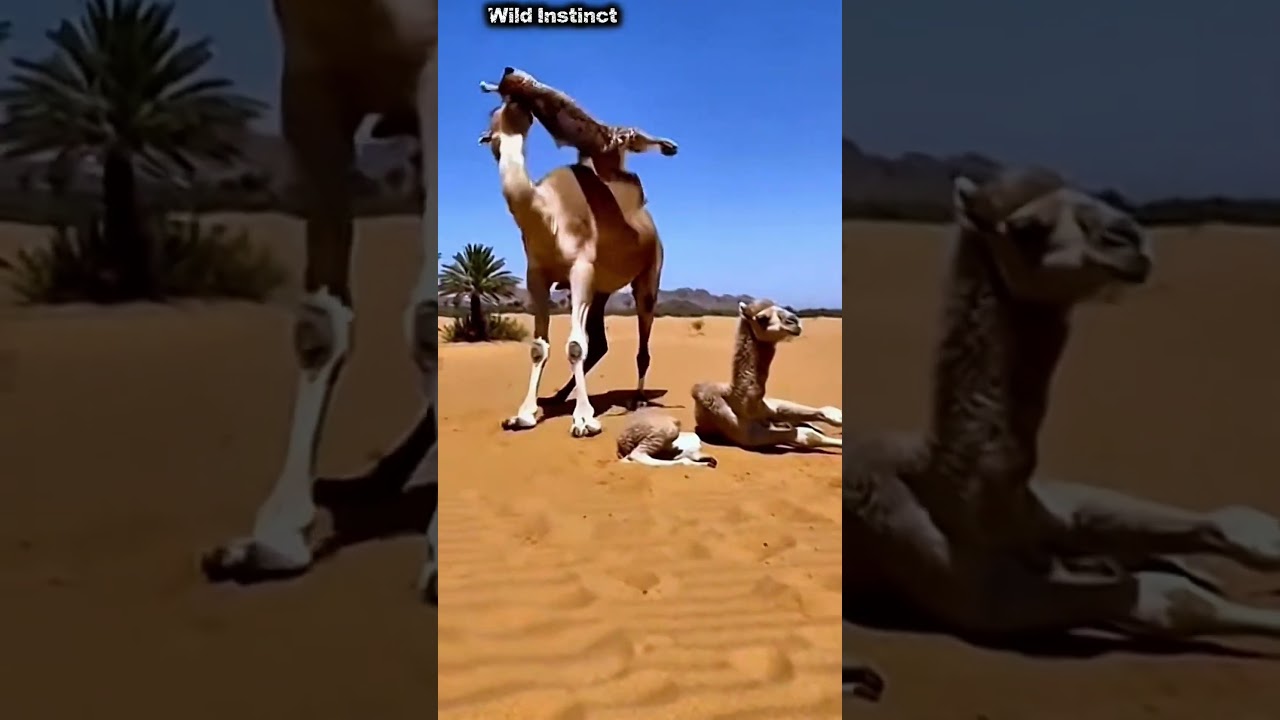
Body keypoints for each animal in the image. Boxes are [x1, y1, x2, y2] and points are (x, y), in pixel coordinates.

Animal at [200, 0, 439, 604]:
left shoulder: (432, 66)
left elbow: (425, 317)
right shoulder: (310, 85)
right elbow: (318, 325)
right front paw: (272, 538)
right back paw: (379, 479)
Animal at [477, 68, 678, 437]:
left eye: (523, 114)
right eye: (495, 117)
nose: (511, 78)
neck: (546, 215)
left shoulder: (580, 269)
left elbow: (574, 345)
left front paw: (585, 420)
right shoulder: (537, 275)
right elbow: (538, 347)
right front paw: (524, 414)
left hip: (648, 278)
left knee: (641, 340)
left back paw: (637, 399)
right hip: (600, 291)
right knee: (599, 343)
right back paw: (558, 396)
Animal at [690, 299, 843, 451]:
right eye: (762, 318)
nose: (794, 321)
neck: (741, 404)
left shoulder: (769, 407)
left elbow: (828, 414)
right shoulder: (749, 435)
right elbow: (807, 436)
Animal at [843, 167, 1280, 651]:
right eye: (1027, 229)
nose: (1129, 239)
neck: (960, 497)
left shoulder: (1055, 508)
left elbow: (1239, 528)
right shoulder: (976, 595)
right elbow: (1171, 602)